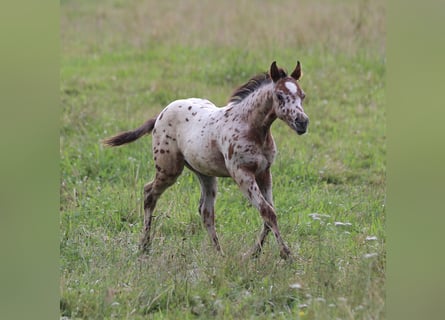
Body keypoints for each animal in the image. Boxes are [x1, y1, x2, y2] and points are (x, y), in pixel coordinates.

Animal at [103, 60, 308, 260]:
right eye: (280, 96)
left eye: (303, 95)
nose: (302, 122)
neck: (250, 126)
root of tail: (161, 113)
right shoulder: (241, 173)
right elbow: (267, 211)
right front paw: (286, 254)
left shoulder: (264, 172)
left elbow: (269, 211)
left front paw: (254, 252)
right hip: (168, 169)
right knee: (149, 193)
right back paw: (144, 246)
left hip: (204, 173)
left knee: (206, 211)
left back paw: (219, 254)